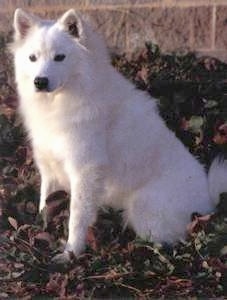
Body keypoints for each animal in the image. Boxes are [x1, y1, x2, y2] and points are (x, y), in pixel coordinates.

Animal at [11, 8, 227, 262]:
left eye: (60, 57)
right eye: (33, 58)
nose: (40, 81)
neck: (60, 101)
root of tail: (209, 199)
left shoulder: (84, 171)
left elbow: (77, 217)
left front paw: (71, 253)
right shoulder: (49, 166)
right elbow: (45, 202)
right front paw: (40, 230)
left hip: (144, 208)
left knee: (173, 241)